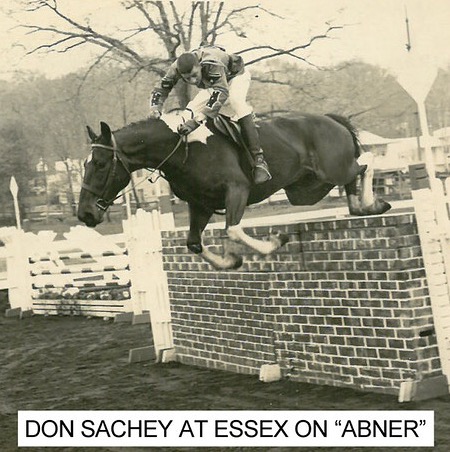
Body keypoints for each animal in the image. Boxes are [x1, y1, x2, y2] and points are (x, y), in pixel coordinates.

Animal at [76, 113, 390, 268]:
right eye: (85, 164)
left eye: (100, 164)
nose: (84, 214)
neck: (183, 151)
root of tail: (333, 120)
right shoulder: (201, 205)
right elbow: (194, 243)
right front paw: (231, 259)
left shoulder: (236, 190)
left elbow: (234, 230)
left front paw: (275, 241)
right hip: (307, 188)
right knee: (352, 183)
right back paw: (363, 206)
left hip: (331, 170)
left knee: (366, 162)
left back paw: (373, 203)